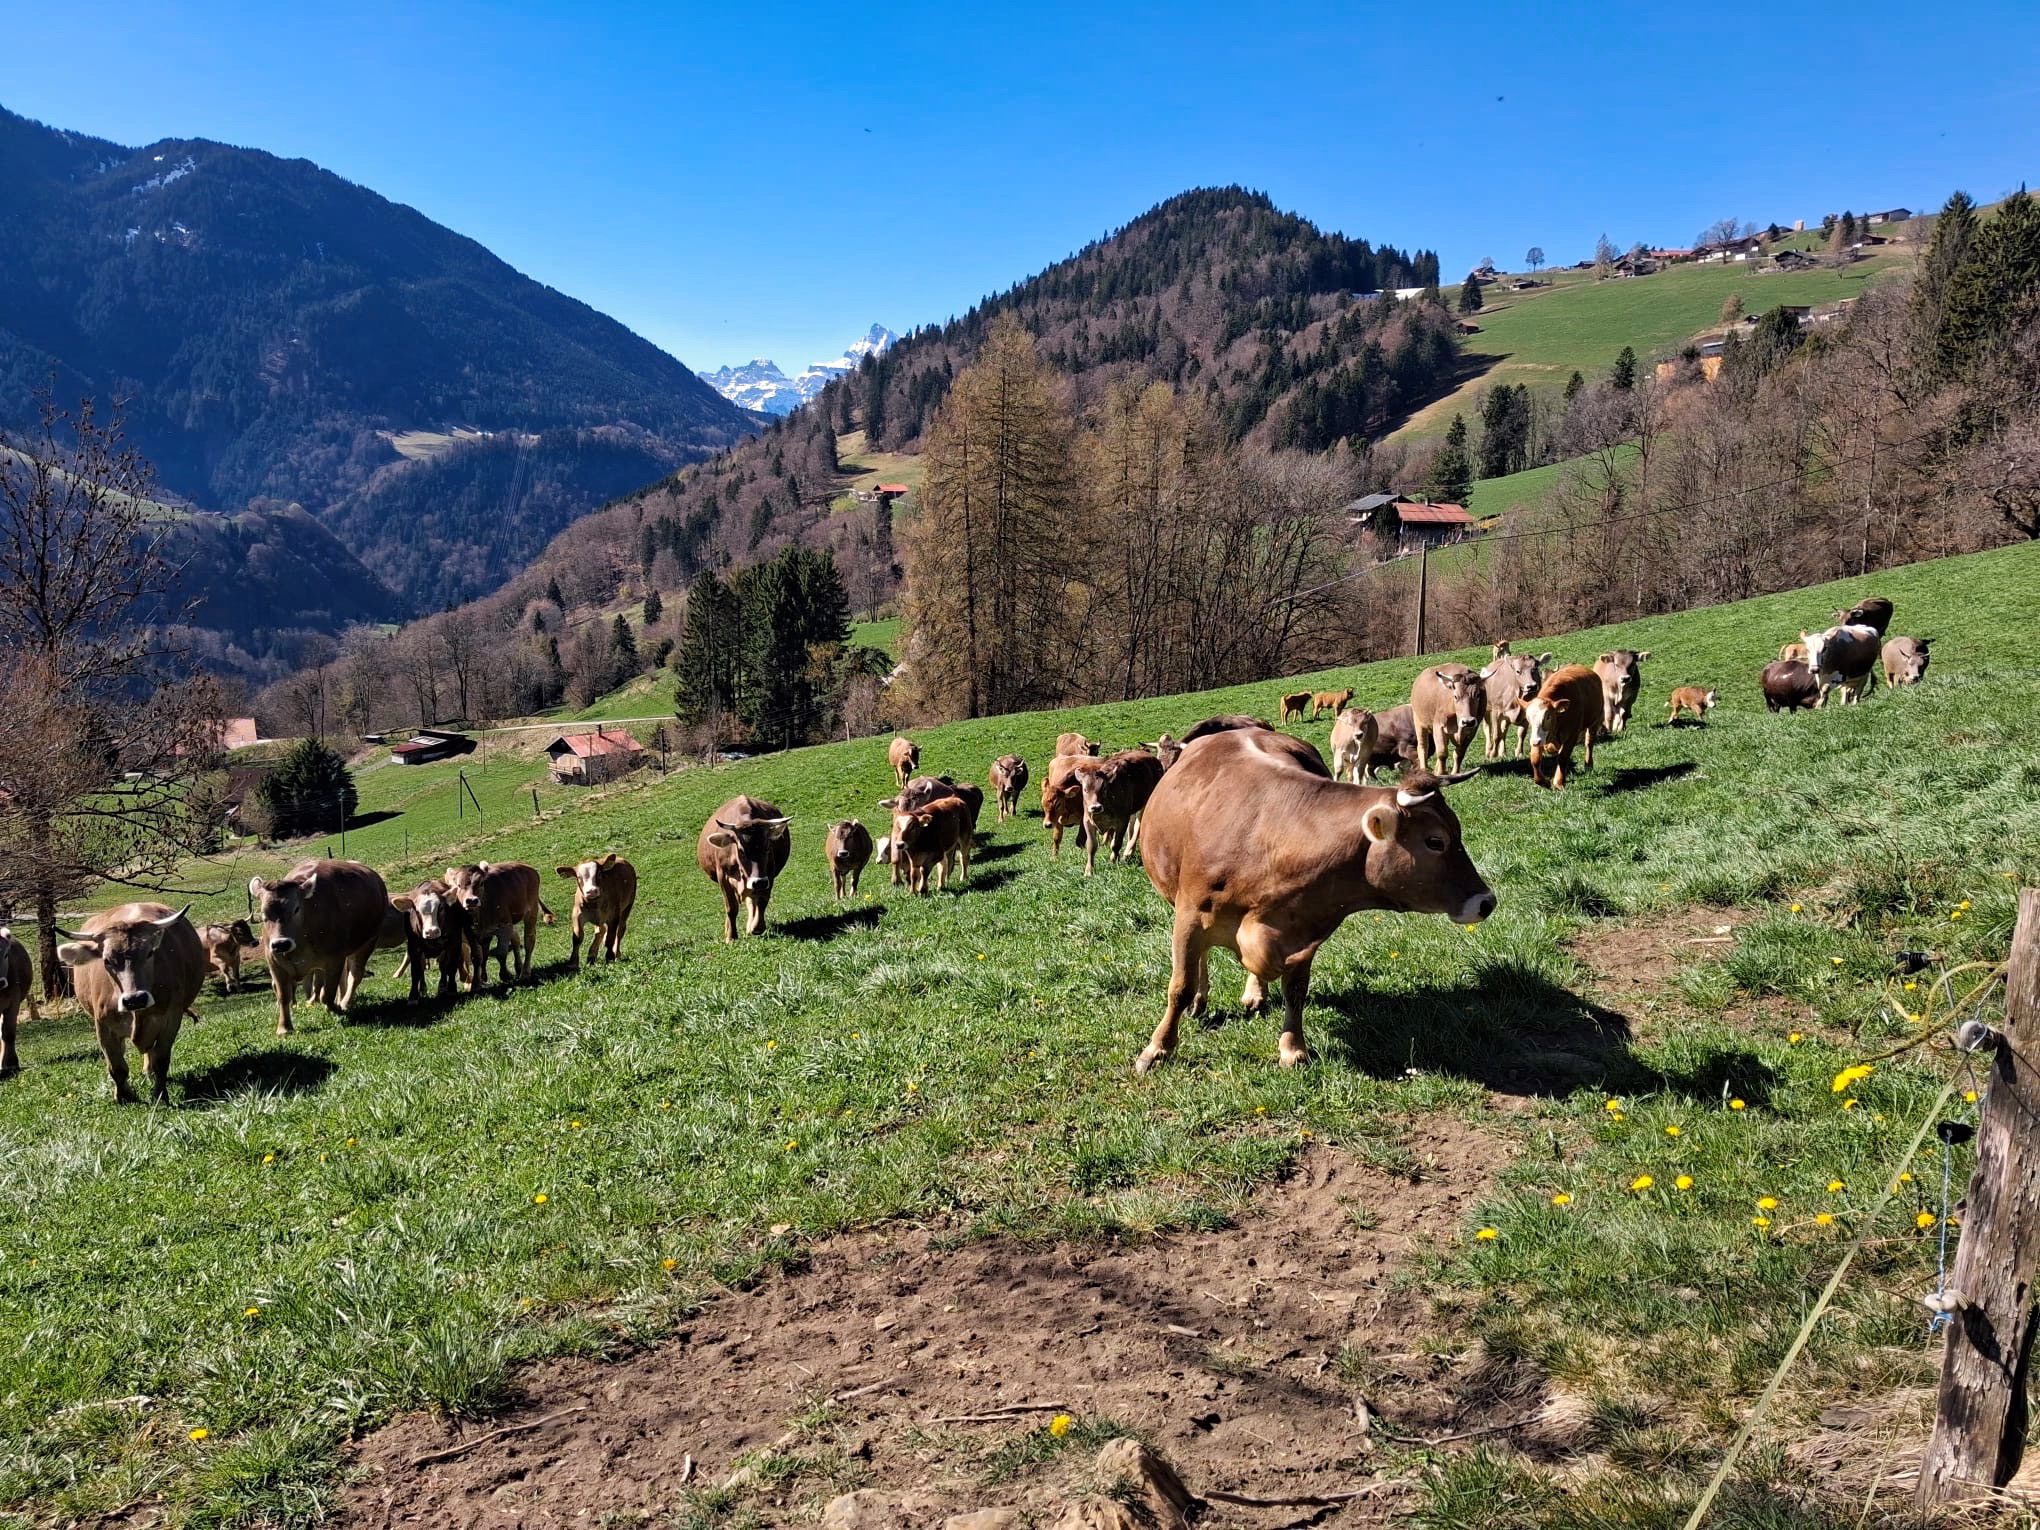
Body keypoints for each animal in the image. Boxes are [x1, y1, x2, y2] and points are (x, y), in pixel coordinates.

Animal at [53, 903, 205, 1103]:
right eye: (107, 960)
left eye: (150, 953)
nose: (135, 999)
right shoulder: (104, 1027)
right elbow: (116, 1067)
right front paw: (124, 1096)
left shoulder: (171, 1019)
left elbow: (161, 1061)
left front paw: (160, 1095)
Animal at [251, 860, 389, 1035]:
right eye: (263, 913)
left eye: (296, 909)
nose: (281, 943)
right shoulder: (275, 964)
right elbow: (283, 996)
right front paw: (284, 1028)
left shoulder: (335, 959)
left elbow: (328, 992)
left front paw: (335, 1009)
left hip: (368, 941)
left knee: (355, 974)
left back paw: (344, 1002)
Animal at [698, 796, 792, 940]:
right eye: (741, 850)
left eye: (767, 848)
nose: (759, 882)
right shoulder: (722, 876)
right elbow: (731, 908)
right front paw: (731, 936)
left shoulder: (768, 876)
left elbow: (761, 901)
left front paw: (757, 927)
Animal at [1135, 726, 1494, 1072]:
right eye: (1435, 841)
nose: (1486, 902)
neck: (1269, 841)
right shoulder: (1190, 917)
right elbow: (1180, 987)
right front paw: (1157, 1049)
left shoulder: (1304, 930)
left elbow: (1295, 992)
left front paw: (1293, 1049)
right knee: (1202, 960)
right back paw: (1201, 999)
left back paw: (1255, 992)